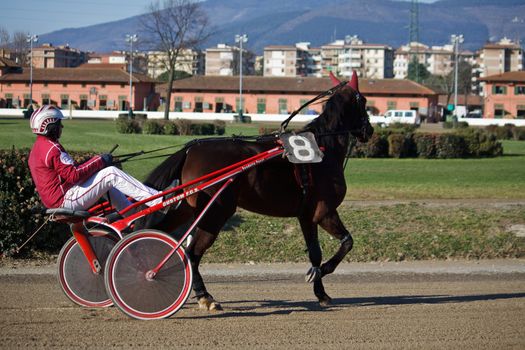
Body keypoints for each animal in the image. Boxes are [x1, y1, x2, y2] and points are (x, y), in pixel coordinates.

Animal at [143, 72, 372, 310]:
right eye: (364, 101)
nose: (370, 130)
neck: (322, 150)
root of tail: (190, 151)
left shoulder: (307, 215)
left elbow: (315, 254)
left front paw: (321, 292)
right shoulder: (324, 211)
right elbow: (347, 242)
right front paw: (324, 272)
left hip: (188, 208)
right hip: (216, 211)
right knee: (192, 253)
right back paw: (205, 297)